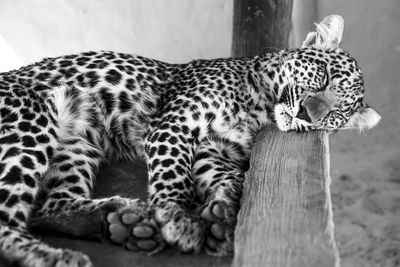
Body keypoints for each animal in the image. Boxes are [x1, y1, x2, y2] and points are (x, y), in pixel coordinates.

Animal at [0, 15, 382, 267]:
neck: (261, 105)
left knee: (53, 205)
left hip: (77, 145)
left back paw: (120, 219)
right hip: (31, 122)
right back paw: (56, 255)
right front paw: (178, 218)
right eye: (325, 76)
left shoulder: (212, 151)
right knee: (8, 222)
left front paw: (223, 212)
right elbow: (174, 177)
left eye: (337, 113)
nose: (307, 114)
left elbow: (230, 176)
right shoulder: (174, 124)